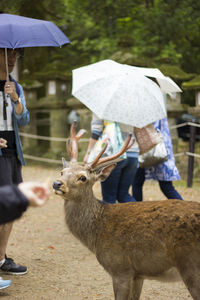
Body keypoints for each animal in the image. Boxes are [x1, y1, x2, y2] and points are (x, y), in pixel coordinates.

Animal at [52, 122, 200, 300]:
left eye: (83, 177)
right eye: (62, 172)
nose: (57, 183)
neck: (97, 235)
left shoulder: (120, 268)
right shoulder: (139, 274)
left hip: (191, 265)